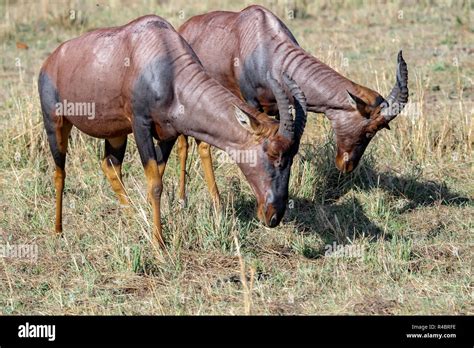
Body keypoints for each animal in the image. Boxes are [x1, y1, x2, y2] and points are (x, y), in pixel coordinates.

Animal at [39, 14, 310, 246]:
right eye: (272, 154)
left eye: (292, 156)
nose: (272, 216)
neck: (164, 60)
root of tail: (51, 60)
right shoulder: (140, 125)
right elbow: (155, 184)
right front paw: (159, 244)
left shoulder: (167, 134)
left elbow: (157, 174)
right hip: (56, 123)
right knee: (59, 173)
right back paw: (58, 230)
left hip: (115, 133)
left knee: (110, 166)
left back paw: (131, 217)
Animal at [176, 5, 410, 205]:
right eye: (369, 131)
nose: (346, 166)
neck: (264, 45)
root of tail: (185, 27)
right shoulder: (252, 106)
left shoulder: (283, 110)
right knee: (186, 146)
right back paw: (185, 199)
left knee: (202, 145)